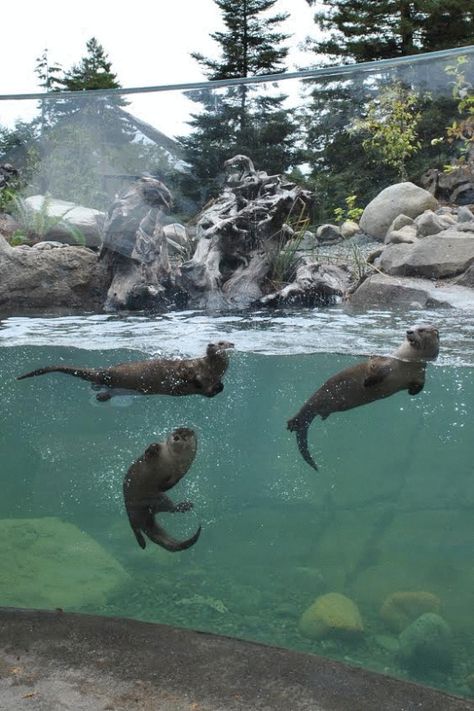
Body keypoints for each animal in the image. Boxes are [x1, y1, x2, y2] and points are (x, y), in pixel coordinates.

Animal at [17, 342, 234, 404]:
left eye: (221, 343)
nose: (211, 345)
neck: (207, 368)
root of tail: (102, 371)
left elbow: (214, 390)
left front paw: (218, 387)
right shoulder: (191, 366)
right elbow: (186, 373)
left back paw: (99, 393)